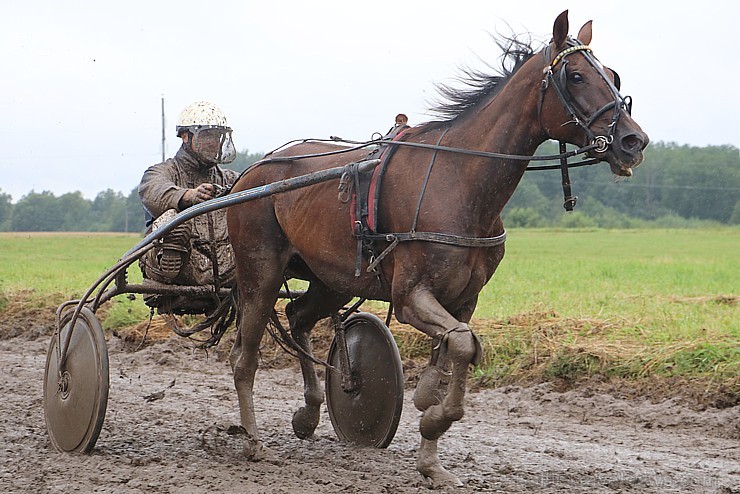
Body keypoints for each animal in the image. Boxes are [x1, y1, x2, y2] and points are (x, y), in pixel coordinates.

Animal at [225, 11, 648, 486]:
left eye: (612, 75)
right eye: (575, 76)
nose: (634, 141)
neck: (459, 178)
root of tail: (252, 172)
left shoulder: (463, 299)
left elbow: (454, 354)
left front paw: (431, 456)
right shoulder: (412, 296)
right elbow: (463, 346)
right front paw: (433, 422)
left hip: (332, 278)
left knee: (297, 316)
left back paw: (309, 413)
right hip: (260, 272)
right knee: (244, 357)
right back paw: (253, 440)